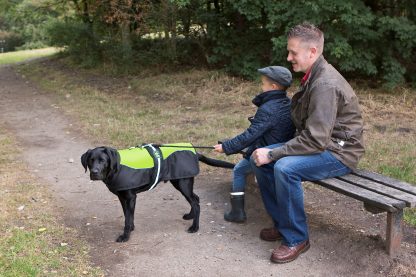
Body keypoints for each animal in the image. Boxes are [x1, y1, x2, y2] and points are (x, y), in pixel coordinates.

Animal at [81, 144, 234, 242]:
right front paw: (130, 229)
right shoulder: (122, 198)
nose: (94, 173)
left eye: (103, 161)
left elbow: (128, 218)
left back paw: (194, 227)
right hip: (180, 183)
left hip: (183, 184)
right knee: (195, 198)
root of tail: (194, 152)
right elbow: (127, 215)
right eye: (90, 160)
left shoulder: (130, 197)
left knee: (196, 202)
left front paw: (125, 236)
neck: (116, 167)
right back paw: (190, 216)